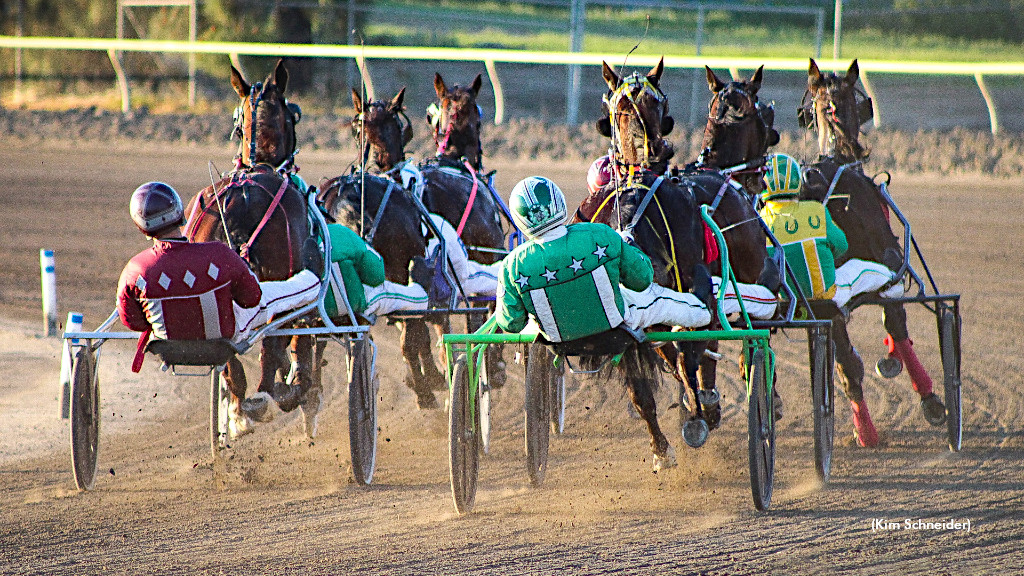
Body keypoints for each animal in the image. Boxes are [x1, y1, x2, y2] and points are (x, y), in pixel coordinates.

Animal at [183, 59, 319, 430]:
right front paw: (298, 384)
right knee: (272, 347)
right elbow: (296, 342)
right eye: (293, 114)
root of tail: (242, 196)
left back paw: (239, 406)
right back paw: (269, 396)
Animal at [585, 58, 720, 461]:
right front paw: (700, 404)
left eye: (657, 103)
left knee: (645, 385)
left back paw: (663, 444)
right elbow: (691, 351)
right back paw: (698, 415)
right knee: (687, 352)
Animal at [802, 59, 946, 422]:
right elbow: (896, 321)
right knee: (853, 355)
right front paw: (927, 395)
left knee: (844, 358)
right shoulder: (890, 257)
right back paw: (868, 425)